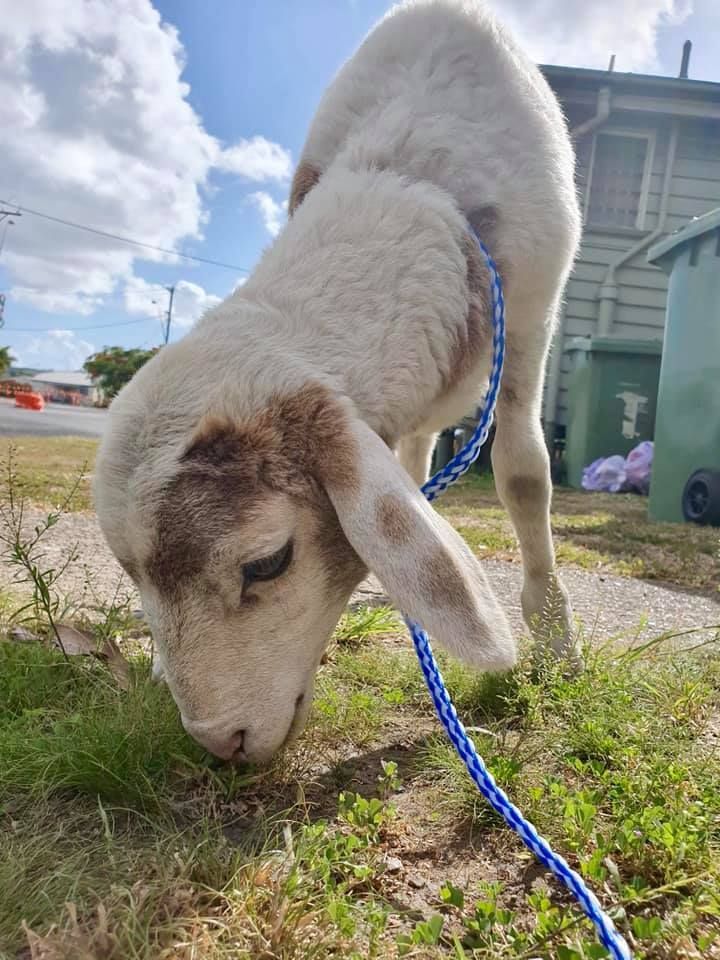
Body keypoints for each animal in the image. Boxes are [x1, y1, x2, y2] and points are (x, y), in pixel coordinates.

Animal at [94, 0, 581, 764]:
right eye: (132, 574)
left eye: (268, 563)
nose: (221, 741)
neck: (413, 182)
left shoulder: (533, 313)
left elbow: (525, 472)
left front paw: (557, 643)